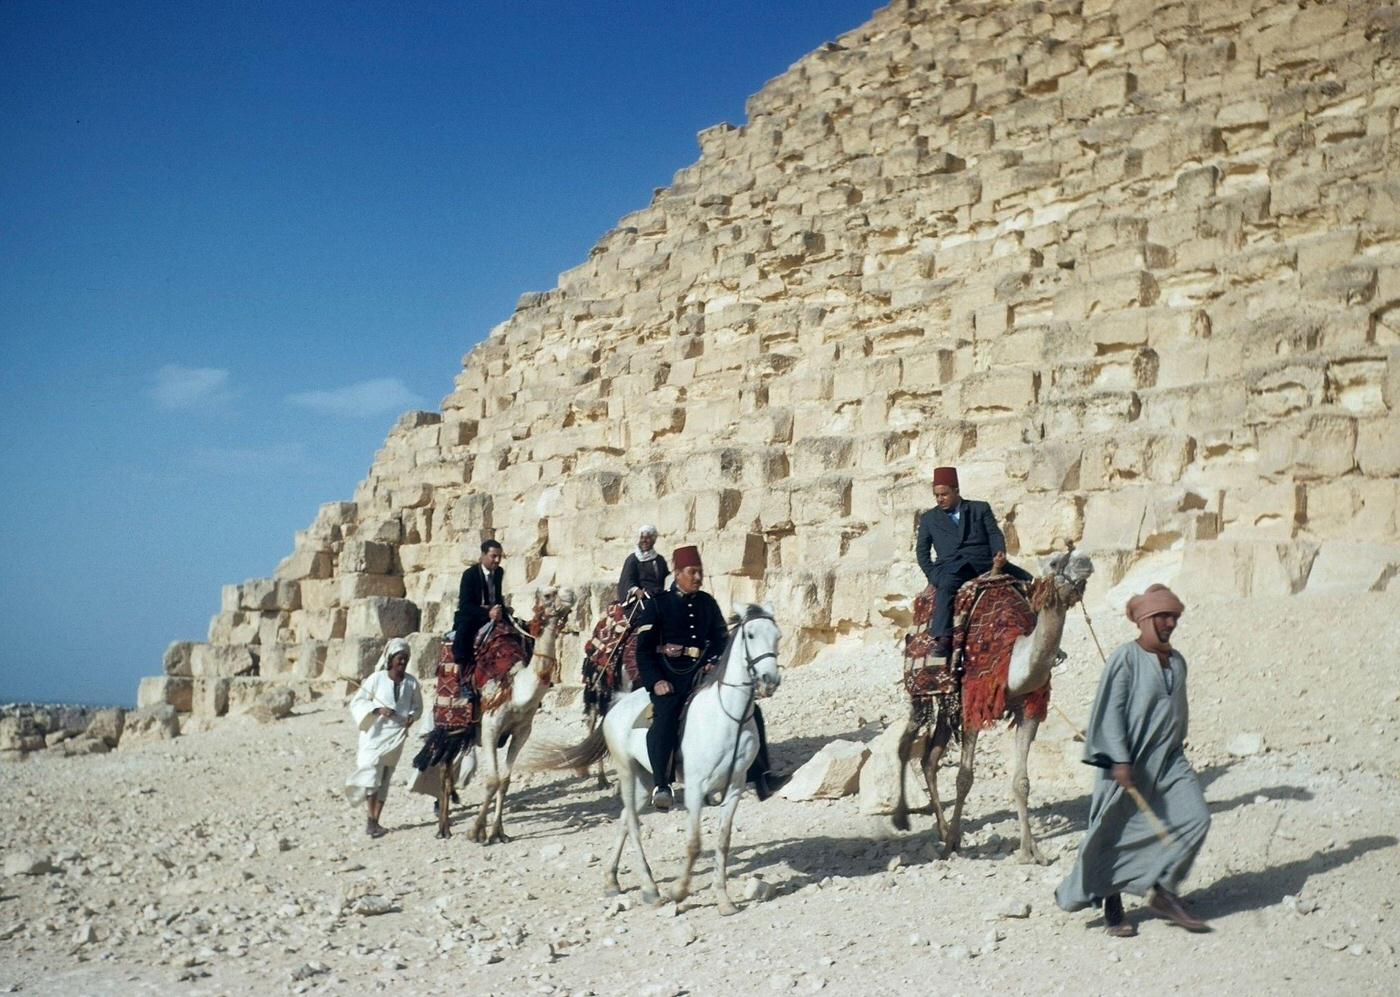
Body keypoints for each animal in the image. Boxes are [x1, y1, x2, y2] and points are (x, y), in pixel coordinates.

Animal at [534, 604, 784, 912]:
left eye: (777, 636)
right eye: (750, 635)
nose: (770, 681)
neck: (726, 717)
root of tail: (617, 706)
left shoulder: (735, 787)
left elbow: (723, 842)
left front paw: (724, 900)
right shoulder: (695, 787)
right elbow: (694, 843)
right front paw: (679, 890)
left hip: (646, 780)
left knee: (624, 818)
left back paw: (611, 880)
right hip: (627, 773)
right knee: (632, 823)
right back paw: (650, 888)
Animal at [896, 551, 1092, 862]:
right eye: (1054, 562)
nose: (1085, 560)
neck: (1010, 657)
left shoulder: (1029, 709)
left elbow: (1022, 781)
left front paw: (1030, 851)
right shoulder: (975, 704)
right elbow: (964, 778)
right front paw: (952, 844)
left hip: (950, 703)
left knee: (930, 758)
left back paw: (941, 830)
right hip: (923, 691)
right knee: (906, 746)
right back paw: (908, 821)